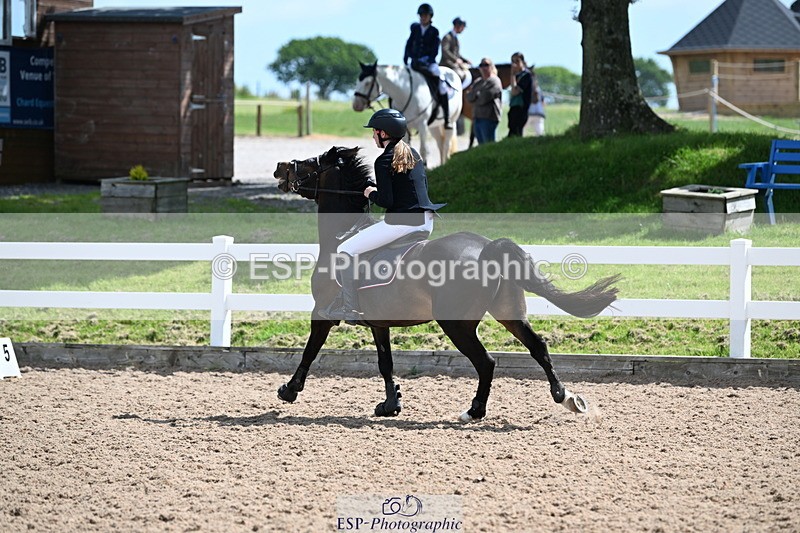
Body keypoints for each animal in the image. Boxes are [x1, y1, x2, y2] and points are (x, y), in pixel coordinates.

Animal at [272, 146, 621, 422]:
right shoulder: (379, 323)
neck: (341, 237)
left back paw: (474, 410)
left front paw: (289, 390)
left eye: (309, 163)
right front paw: (390, 405)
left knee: (486, 362)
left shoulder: (322, 313)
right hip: (508, 312)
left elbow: (309, 352)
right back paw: (566, 397)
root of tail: (487, 247)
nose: (279, 167)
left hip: (457, 323)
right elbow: (385, 363)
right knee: (538, 347)